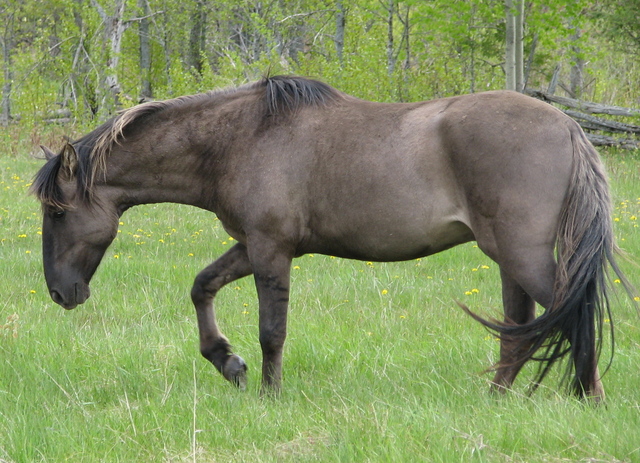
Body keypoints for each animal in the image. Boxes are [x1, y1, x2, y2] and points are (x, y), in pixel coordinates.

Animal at [31, 75, 632, 398]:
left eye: (57, 213)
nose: (60, 293)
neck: (241, 138)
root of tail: (569, 126)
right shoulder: (252, 245)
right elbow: (203, 287)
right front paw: (228, 362)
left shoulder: (271, 250)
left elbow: (272, 330)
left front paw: (268, 394)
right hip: (510, 259)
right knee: (519, 329)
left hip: (523, 255)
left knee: (569, 315)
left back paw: (592, 401)